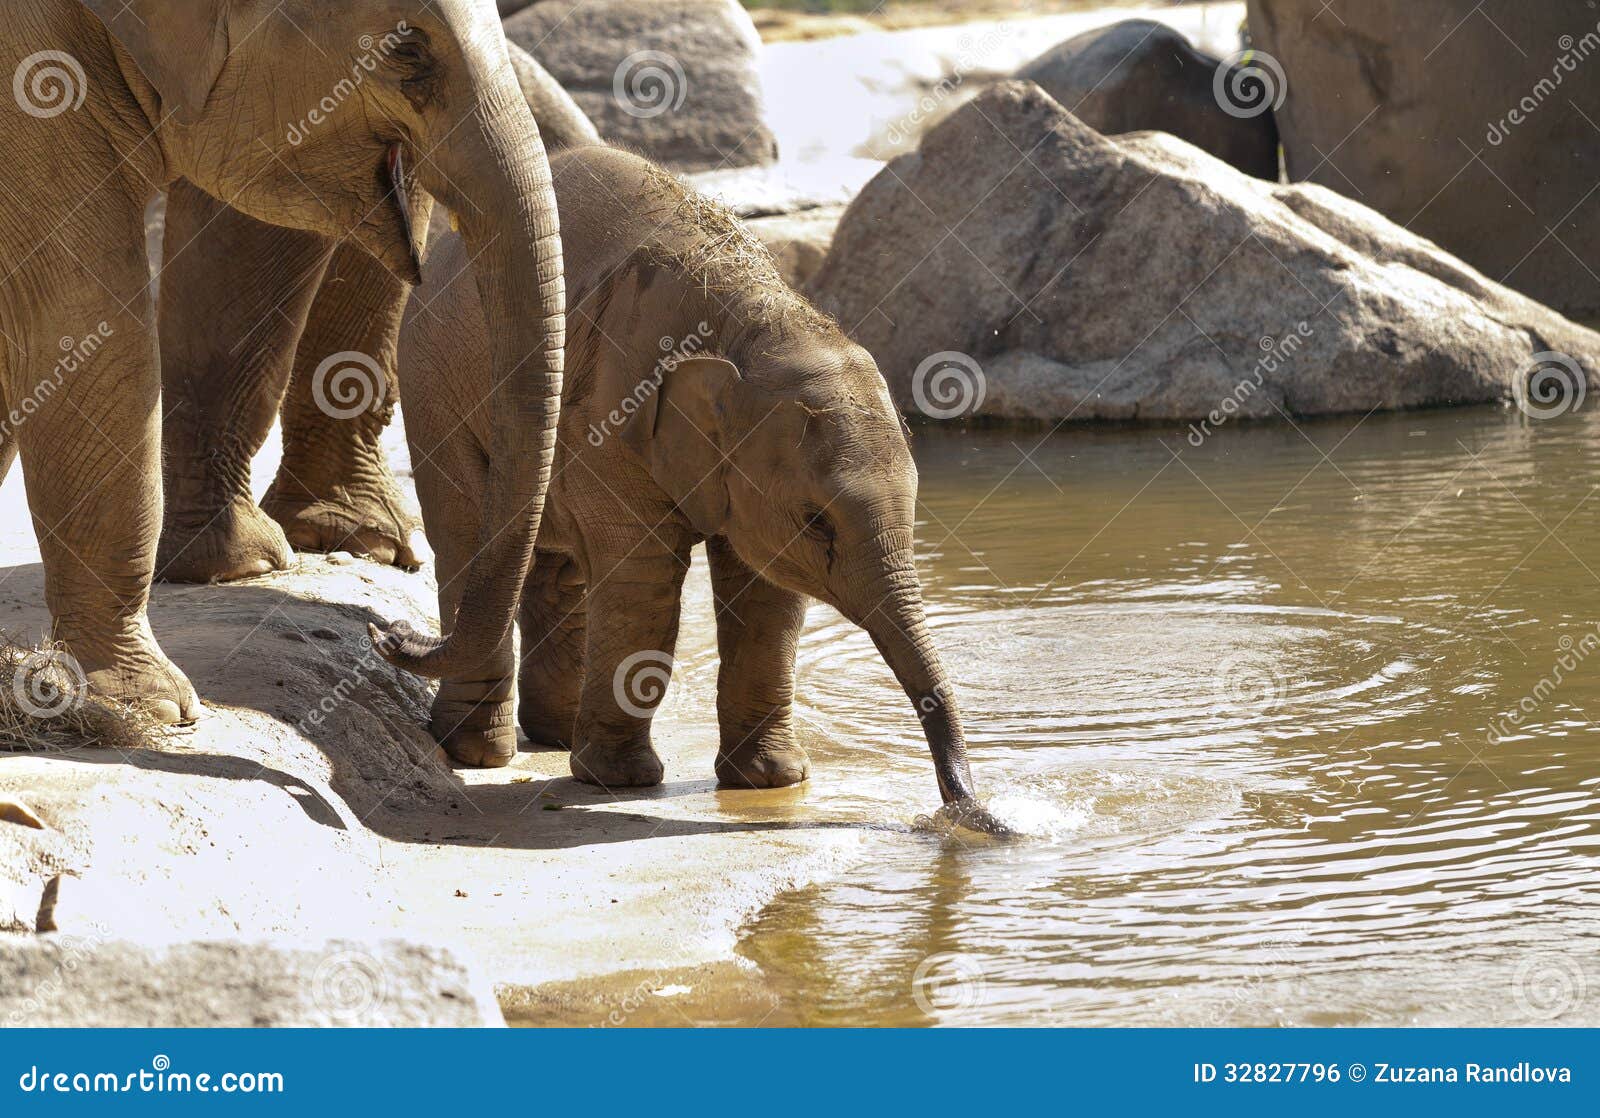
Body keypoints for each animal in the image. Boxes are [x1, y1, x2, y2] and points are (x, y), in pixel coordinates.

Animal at [0, 2, 569, 726]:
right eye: (408, 50)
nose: (388, 634)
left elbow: (249, 238)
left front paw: (266, 562)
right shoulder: (30, 73)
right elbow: (81, 306)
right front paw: (147, 708)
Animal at [385, 146, 979, 812]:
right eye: (817, 521)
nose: (965, 805)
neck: (751, 321)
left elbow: (766, 594)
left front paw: (772, 780)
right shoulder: (609, 414)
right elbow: (644, 577)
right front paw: (619, 782)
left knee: (557, 566)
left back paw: (555, 735)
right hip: (431, 382)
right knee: (466, 535)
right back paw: (479, 753)